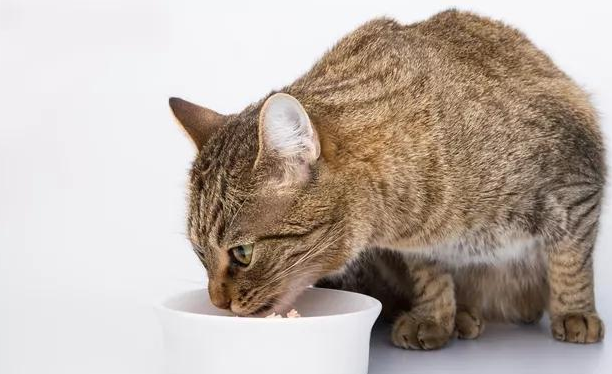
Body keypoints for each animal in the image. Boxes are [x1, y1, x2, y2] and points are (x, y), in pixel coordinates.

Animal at [170, 10, 604, 350]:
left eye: (242, 254)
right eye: (200, 254)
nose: (216, 303)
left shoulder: (577, 184)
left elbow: (571, 259)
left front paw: (575, 311)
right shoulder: (419, 246)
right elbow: (430, 276)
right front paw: (435, 316)